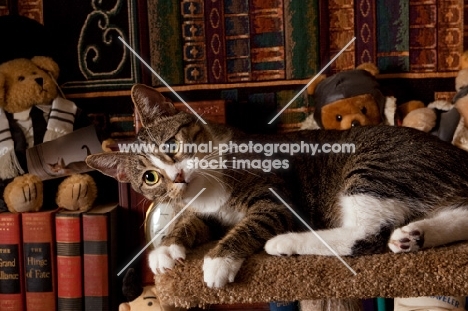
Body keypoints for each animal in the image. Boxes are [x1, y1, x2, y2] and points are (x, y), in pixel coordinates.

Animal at [86, 84, 468, 288]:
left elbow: (251, 223)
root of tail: (456, 156)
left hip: (375, 165)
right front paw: (166, 249)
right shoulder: (207, 210)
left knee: (365, 233)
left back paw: (285, 243)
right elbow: (193, 220)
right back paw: (412, 236)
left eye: (171, 144)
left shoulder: (276, 195)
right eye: (149, 178)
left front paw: (218, 260)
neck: (210, 185)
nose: (178, 177)